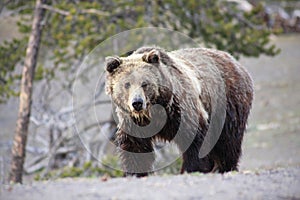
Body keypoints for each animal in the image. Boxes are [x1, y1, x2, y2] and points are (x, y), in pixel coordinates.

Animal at [105, 46, 253, 177]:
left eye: (145, 83)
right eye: (127, 84)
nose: (137, 103)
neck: (156, 110)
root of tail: (235, 61)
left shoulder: (182, 110)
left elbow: (194, 141)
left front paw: (192, 168)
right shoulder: (134, 123)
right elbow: (135, 147)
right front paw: (136, 172)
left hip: (228, 104)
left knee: (227, 142)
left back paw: (225, 167)